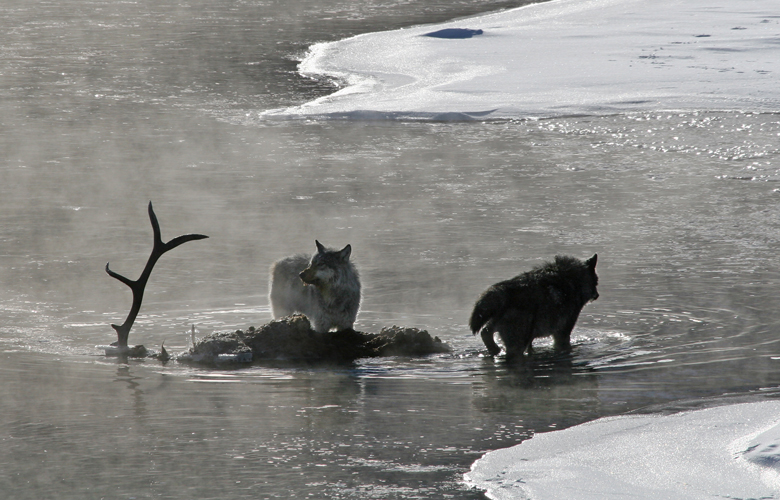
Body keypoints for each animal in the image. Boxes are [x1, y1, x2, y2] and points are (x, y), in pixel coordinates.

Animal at [469, 254, 598, 358]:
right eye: (596, 281)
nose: (597, 295)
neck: (574, 280)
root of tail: (502, 291)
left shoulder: (532, 338)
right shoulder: (562, 332)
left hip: (497, 327)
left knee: (485, 333)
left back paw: (495, 350)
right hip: (517, 343)